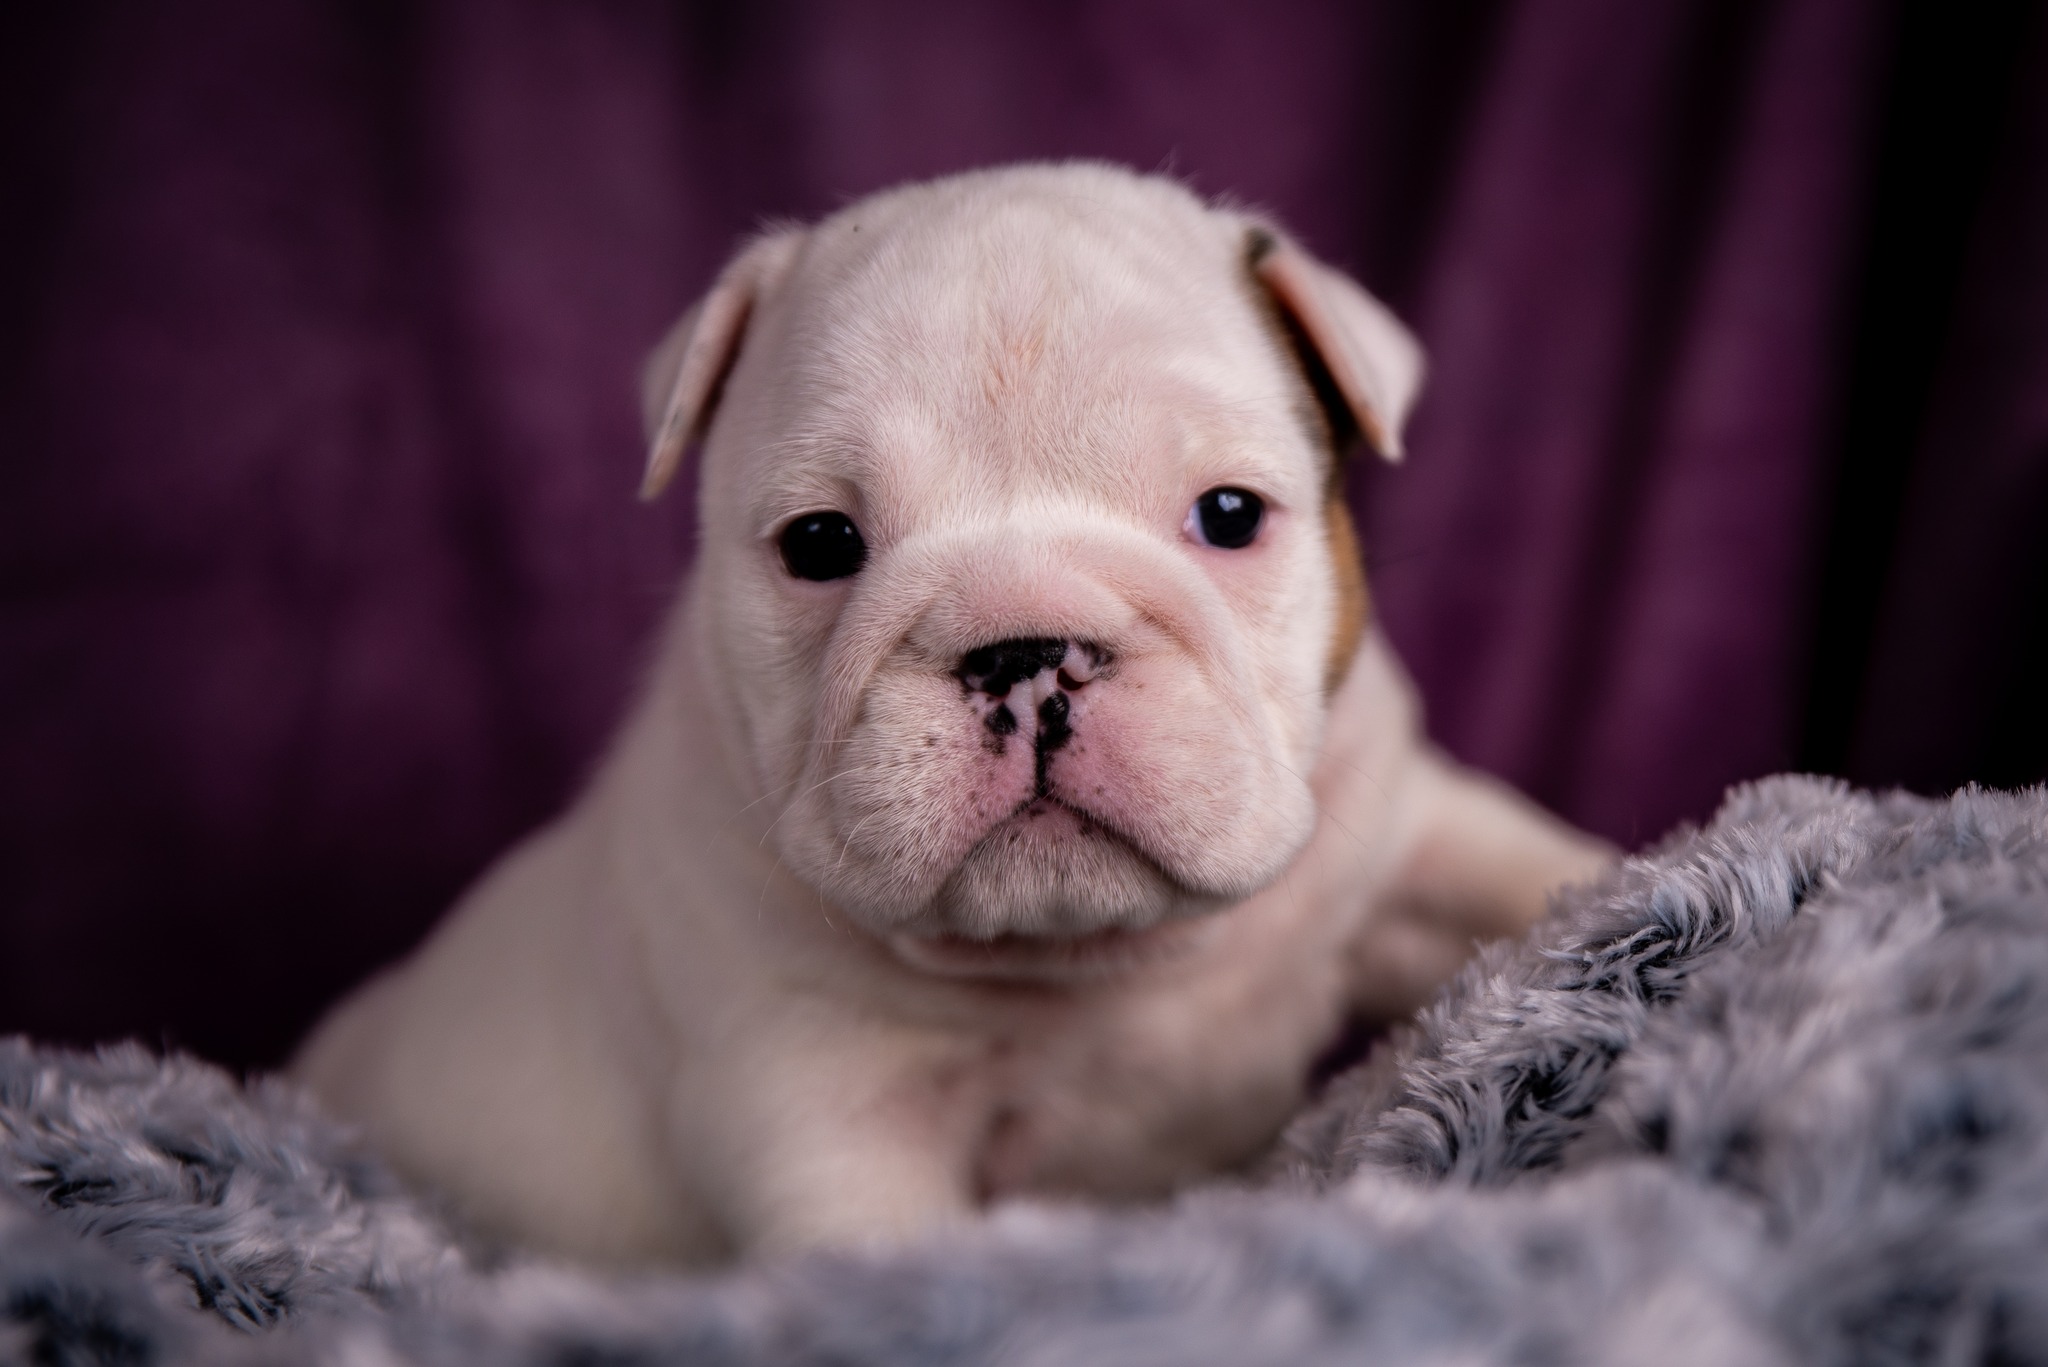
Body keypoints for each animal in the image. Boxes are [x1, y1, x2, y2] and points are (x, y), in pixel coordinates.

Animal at [299, 166, 1613, 1270]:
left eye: (1229, 514)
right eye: (819, 543)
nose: (1024, 652)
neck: (1090, 962)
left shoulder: (1399, 837)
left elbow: (1529, 872)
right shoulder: (819, 1109)